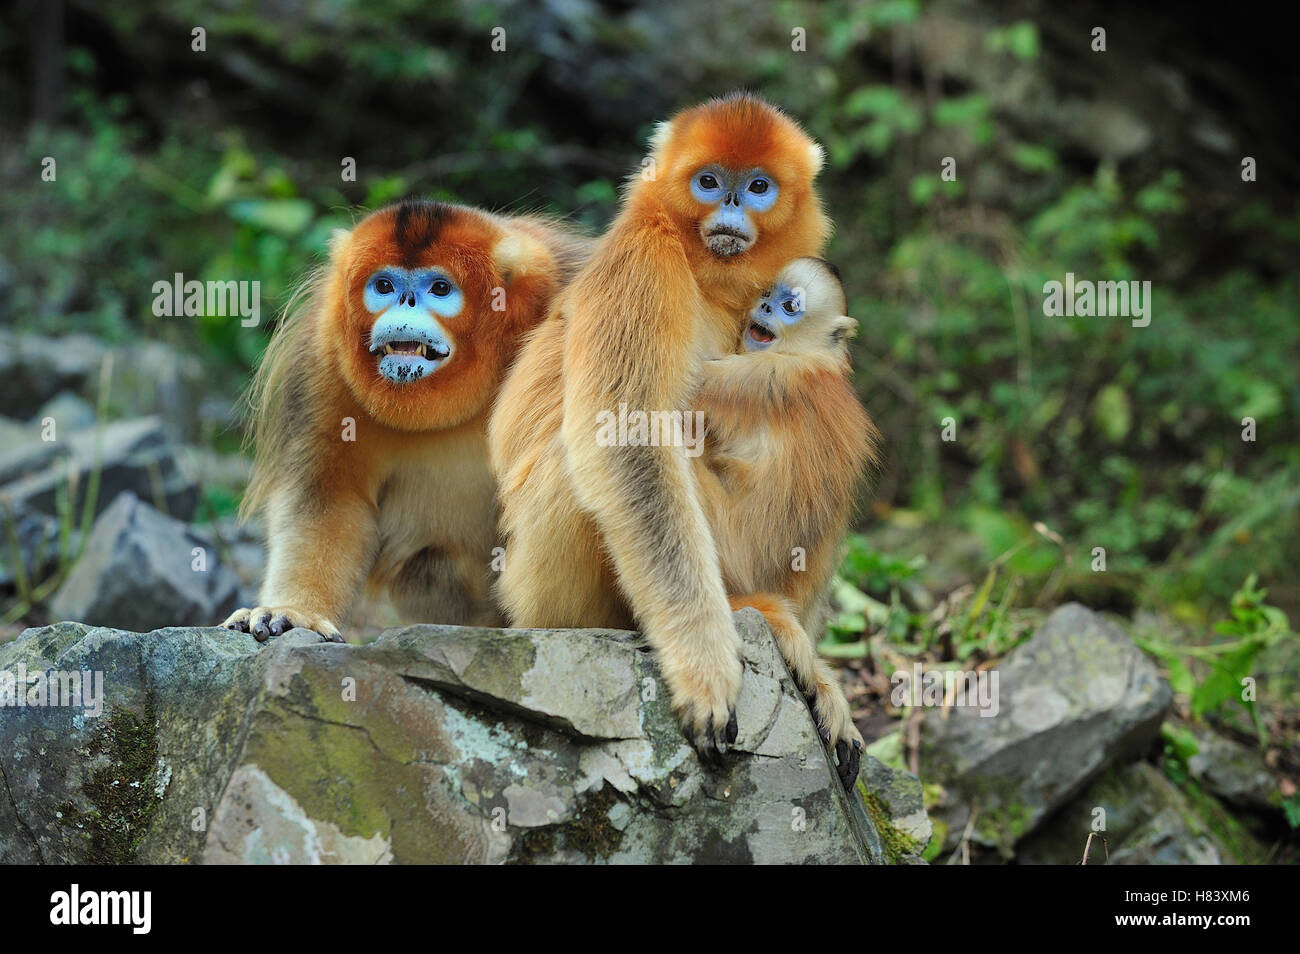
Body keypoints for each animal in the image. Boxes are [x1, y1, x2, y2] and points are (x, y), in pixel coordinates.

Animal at [222, 200, 590, 642]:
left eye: (440, 289)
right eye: (384, 286)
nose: (405, 305)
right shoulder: (322, 356)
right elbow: (326, 501)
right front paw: (295, 611)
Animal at [489, 94, 833, 767]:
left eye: (758, 186)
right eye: (709, 182)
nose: (731, 205)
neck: (703, 272)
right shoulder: (643, 262)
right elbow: (627, 440)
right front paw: (704, 665)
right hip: (537, 597)